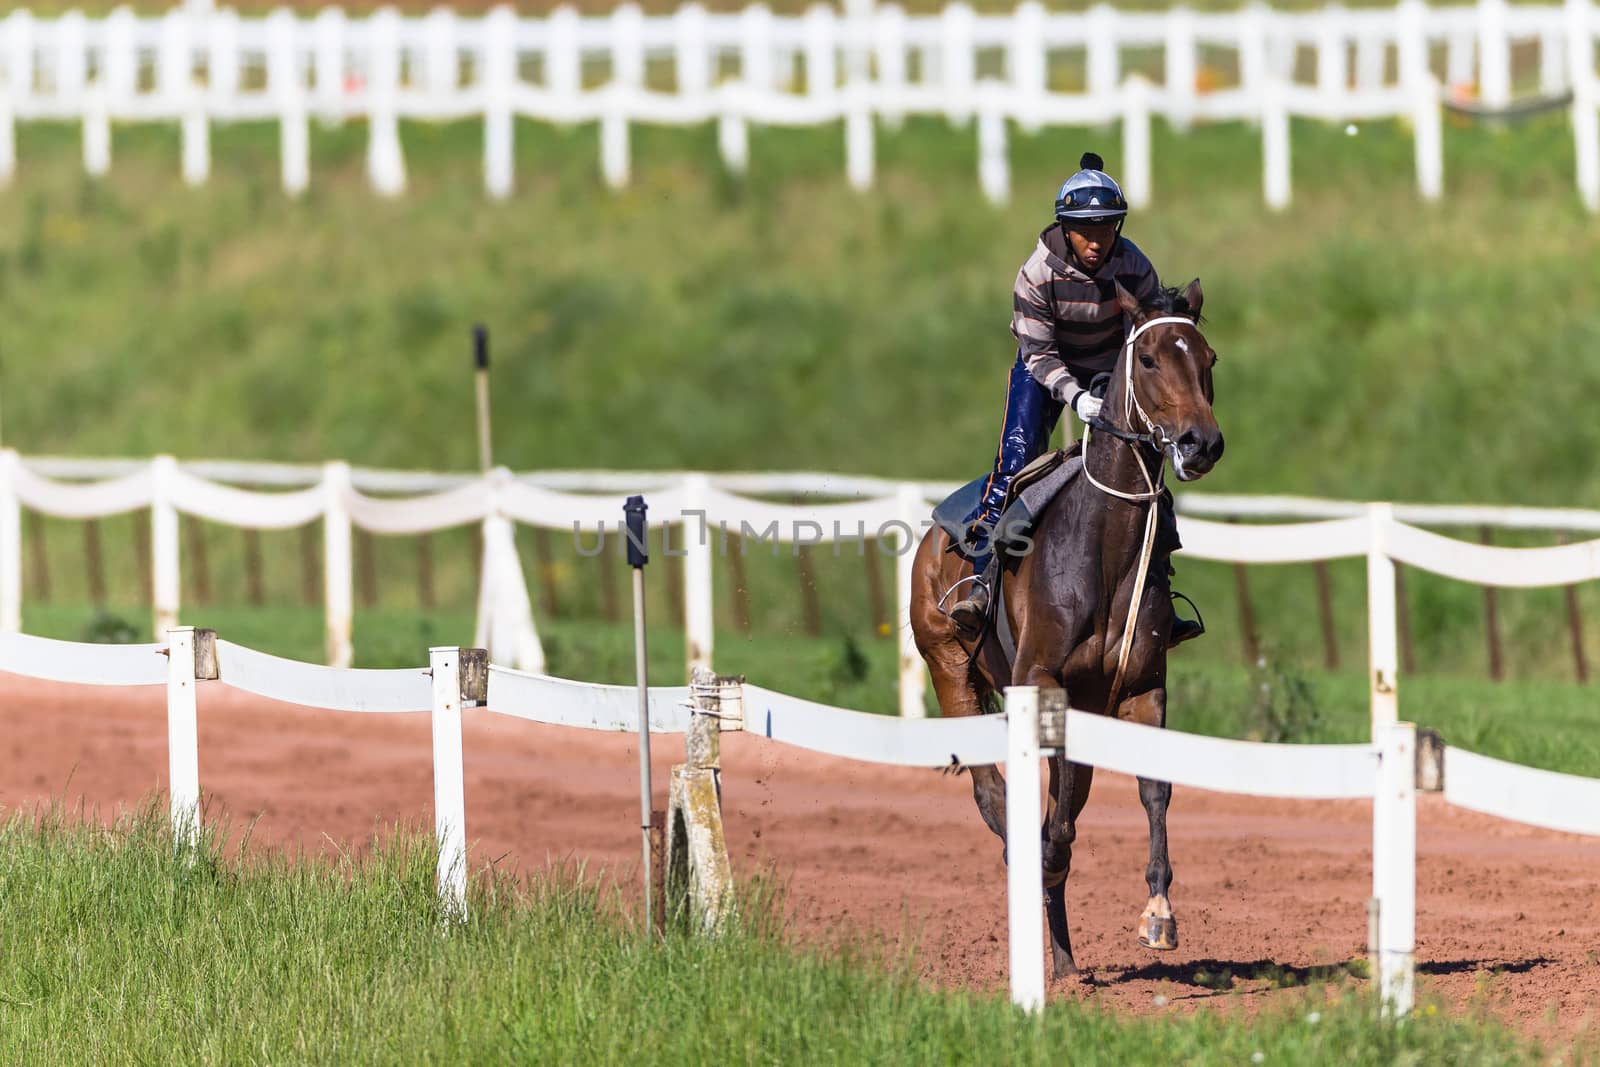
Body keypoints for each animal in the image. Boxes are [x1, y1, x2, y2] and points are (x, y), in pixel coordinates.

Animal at [915, 279, 1222, 979]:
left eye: (1209, 358)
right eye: (1150, 360)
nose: (1201, 443)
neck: (1102, 546)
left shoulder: (1141, 687)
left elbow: (1152, 790)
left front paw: (1159, 914)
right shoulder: (1041, 680)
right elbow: (1049, 820)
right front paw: (1043, 867)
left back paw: (1062, 956)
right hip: (949, 667)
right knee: (993, 795)